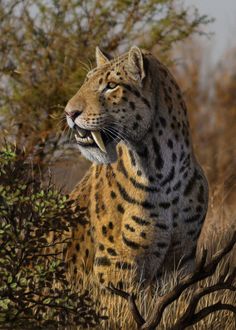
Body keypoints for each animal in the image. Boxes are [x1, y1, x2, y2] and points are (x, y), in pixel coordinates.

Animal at [63, 46, 208, 288]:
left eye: (111, 85)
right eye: (86, 81)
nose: (69, 113)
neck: (163, 168)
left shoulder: (182, 259)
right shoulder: (116, 261)